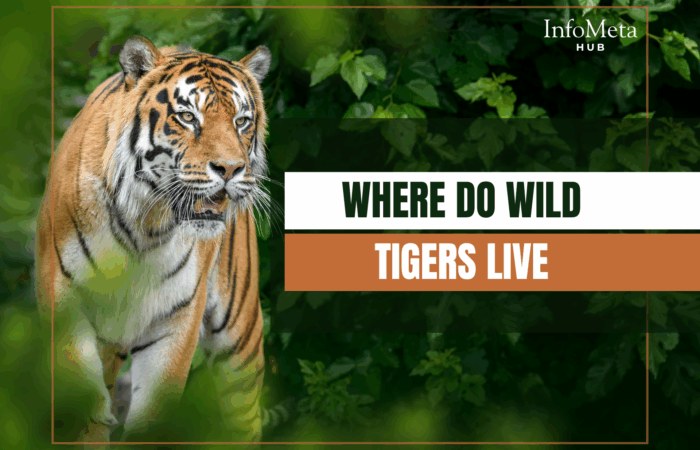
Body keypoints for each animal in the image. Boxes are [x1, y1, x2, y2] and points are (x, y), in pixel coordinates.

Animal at [36, 35, 272, 442]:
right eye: (188, 117)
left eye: (241, 121)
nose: (231, 168)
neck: (145, 225)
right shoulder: (65, 304)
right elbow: (87, 415)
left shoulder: (175, 320)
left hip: (239, 337)